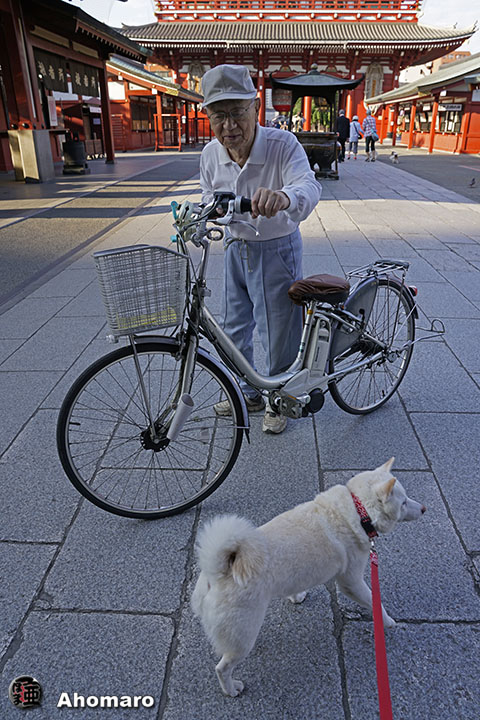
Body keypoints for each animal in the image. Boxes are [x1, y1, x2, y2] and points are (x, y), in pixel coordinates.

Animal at [191, 458, 425, 697]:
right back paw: (231, 689)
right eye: (404, 502)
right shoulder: (351, 582)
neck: (359, 511)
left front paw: (296, 598)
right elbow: (374, 601)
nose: (424, 508)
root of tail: (218, 571)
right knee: (222, 668)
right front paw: (388, 622)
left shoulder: (298, 575)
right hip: (244, 634)